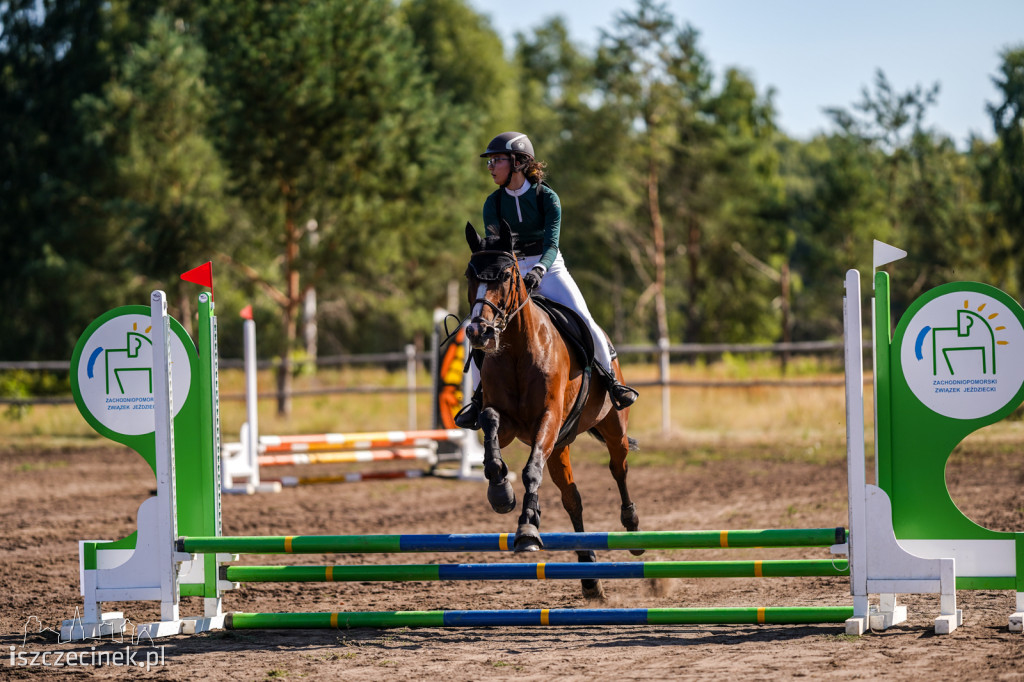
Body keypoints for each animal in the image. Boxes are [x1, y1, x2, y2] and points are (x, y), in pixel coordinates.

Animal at [464, 220, 638, 598]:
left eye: (506, 275)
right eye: (470, 275)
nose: (478, 332)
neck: (517, 350)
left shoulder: (548, 418)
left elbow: (531, 471)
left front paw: (527, 529)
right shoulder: (510, 423)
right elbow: (490, 423)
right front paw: (500, 490)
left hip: (612, 427)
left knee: (618, 468)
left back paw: (633, 527)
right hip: (559, 447)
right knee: (572, 498)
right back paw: (589, 576)